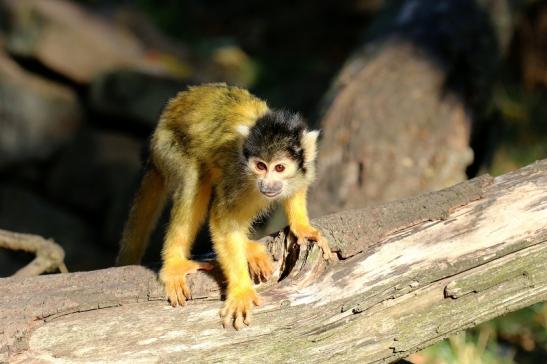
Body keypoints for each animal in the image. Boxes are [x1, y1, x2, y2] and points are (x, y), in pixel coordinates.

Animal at [116, 84, 330, 328]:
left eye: (279, 168)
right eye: (260, 166)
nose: (266, 184)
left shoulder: (305, 169)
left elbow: (296, 191)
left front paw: (302, 227)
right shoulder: (239, 178)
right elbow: (223, 222)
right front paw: (241, 291)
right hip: (167, 145)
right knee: (194, 180)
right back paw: (174, 264)